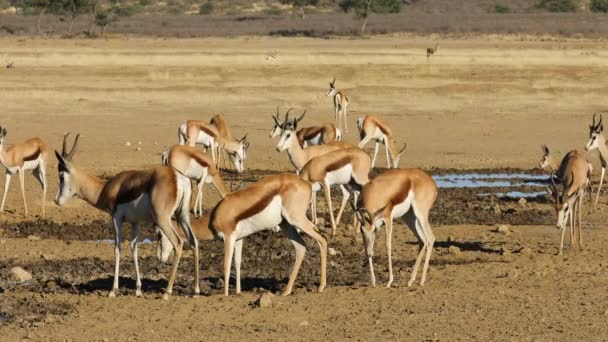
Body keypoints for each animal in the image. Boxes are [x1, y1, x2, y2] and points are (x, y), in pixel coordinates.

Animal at [54, 134, 197, 300]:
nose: (56, 200)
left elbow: (117, 248)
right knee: (194, 241)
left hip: (163, 219)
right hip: (183, 216)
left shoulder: (116, 218)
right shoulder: (135, 222)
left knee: (178, 242)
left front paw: (113, 290)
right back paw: (196, 291)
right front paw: (138, 290)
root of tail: (178, 177)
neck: (105, 188)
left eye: (61, 177)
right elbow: (134, 248)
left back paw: (167, 292)